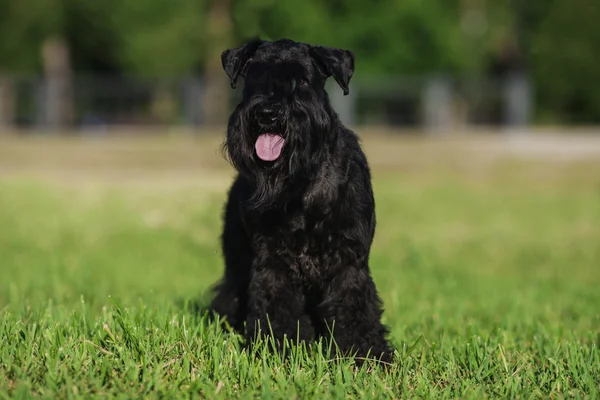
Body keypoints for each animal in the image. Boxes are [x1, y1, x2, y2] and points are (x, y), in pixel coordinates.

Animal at [207, 38, 394, 362]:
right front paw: (279, 349)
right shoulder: (272, 261)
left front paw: (365, 354)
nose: (268, 113)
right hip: (237, 260)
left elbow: (355, 309)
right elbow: (275, 308)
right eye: (255, 76)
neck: (301, 187)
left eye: (304, 80)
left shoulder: (348, 260)